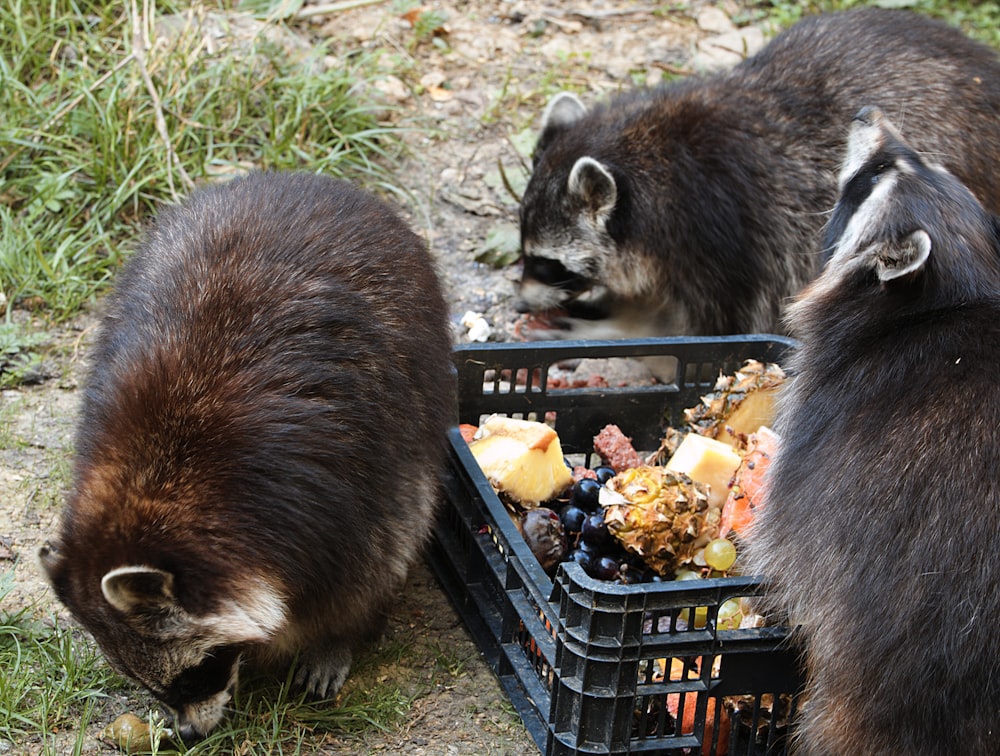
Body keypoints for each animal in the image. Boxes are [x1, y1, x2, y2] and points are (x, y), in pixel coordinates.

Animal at [38, 170, 454, 740]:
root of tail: (306, 180)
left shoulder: (344, 484)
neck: (156, 480)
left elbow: (375, 553)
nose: (188, 735)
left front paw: (338, 632)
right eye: (152, 685)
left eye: (193, 675)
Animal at [520, 7, 1000, 340]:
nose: (521, 304)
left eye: (547, 264)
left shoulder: (723, 244)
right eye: (527, 255)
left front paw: (621, 327)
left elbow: (702, 327)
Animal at [748, 106, 1000, 756]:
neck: (945, 300)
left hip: (903, 646)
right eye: (925, 161)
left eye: (875, 176)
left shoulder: (819, 454)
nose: (867, 113)